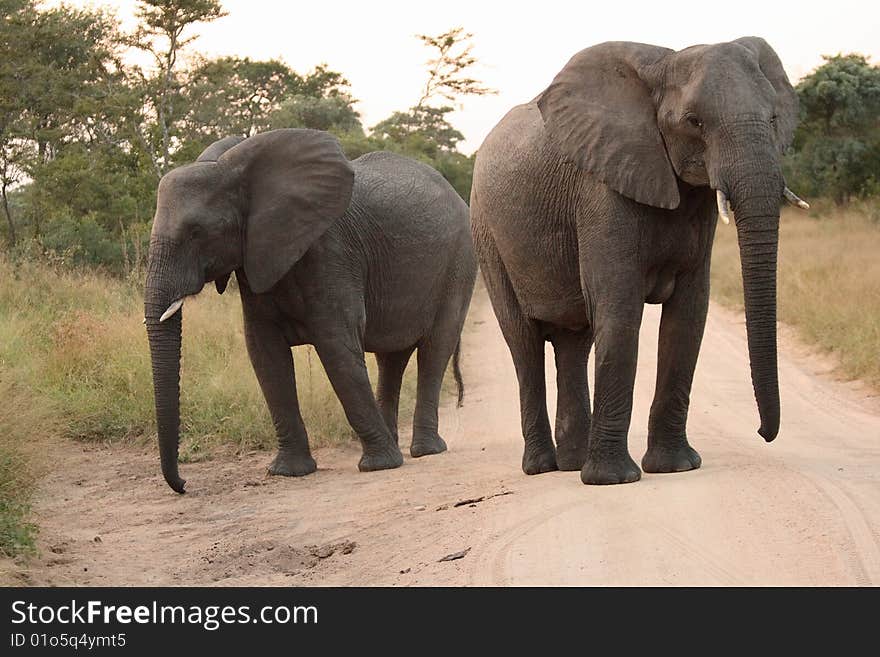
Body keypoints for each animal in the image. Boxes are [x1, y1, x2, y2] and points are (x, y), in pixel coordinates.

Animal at [144, 128, 474, 492]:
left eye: (197, 232)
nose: (184, 484)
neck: (234, 168)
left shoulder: (330, 250)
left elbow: (336, 347)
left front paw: (379, 466)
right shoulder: (257, 255)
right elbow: (265, 353)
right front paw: (288, 471)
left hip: (460, 261)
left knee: (435, 347)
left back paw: (425, 451)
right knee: (392, 357)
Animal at [470, 38, 808, 484]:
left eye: (773, 118)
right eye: (694, 122)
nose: (762, 433)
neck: (664, 65)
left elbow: (688, 316)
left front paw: (675, 467)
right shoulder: (601, 189)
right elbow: (619, 309)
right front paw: (612, 479)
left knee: (574, 341)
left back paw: (572, 463)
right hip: (486, 233)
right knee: (523, 341)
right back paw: (542, 468)